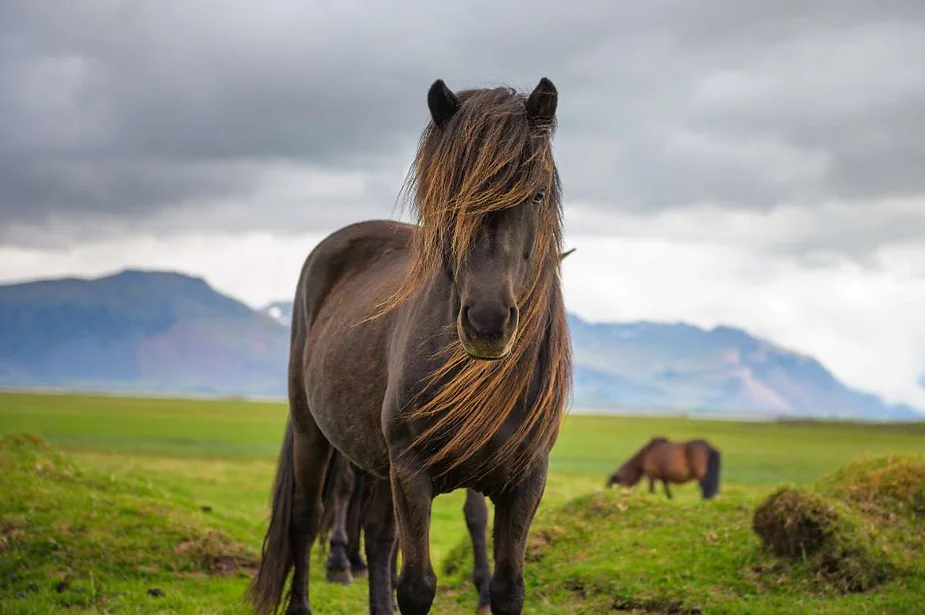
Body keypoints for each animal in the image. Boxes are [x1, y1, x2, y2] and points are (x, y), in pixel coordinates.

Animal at [249, 78, 572, 615]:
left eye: (538, 194)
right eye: (450, 195)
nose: (487, 322)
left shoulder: (526, 479)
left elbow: (507, 586)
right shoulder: (412, 473)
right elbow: (417, 585)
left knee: (379, 536)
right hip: (315, 434)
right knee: (306, 516)